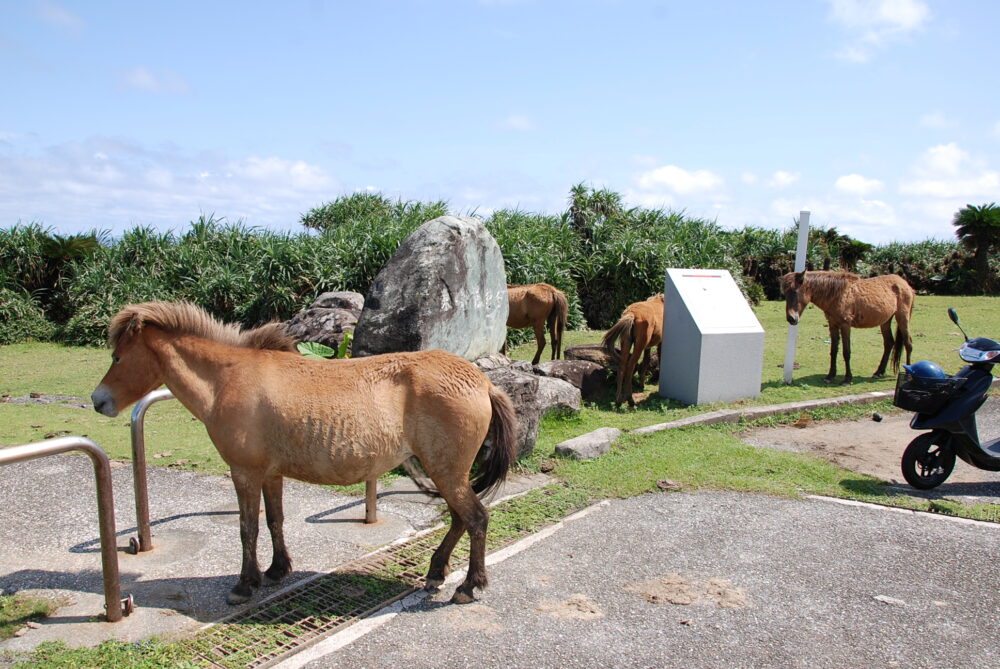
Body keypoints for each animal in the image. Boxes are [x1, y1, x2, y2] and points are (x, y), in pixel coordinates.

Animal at [780, 268, 916, 384]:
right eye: (785, 294)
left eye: (795, 291)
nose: (791, 318)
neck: (837, 294)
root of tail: (906, 284)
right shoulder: (833, 325)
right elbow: (834, 350)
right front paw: (830, 376)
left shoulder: (845, 325)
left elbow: (846, 352)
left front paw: (847, 379)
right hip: (885, 321)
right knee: (889, 343)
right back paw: (878, 372)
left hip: (902, 317)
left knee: (908, 343)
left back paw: (908, 375)